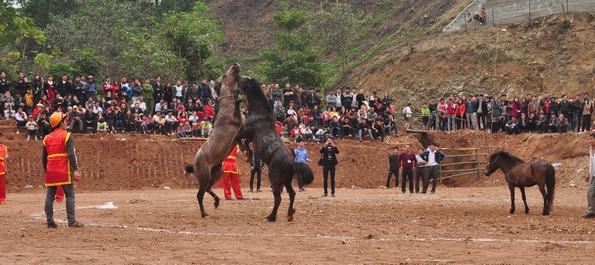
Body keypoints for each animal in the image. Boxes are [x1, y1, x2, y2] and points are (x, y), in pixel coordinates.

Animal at [184, 64, 244, 217]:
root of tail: (194, 164)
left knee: (207, 189)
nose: (235, 64)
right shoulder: (238, 124)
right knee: (200, 194)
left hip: (217, 173)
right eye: (225, 74)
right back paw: (203, 213)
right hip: (204, 176)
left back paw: (216, 202)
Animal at [237, 76, 314, 221]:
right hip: (287, 181)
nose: (237, 79)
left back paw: (271, 216)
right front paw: (248, 156)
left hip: (274, 179)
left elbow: (240, 139)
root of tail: (292, 163)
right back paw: (289, 214)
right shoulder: (250, 136)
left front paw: (245, 152)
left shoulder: (247, 131)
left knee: (278, 197)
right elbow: (247, 145)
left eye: (244, 79)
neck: (259, 112)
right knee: (292, 194)